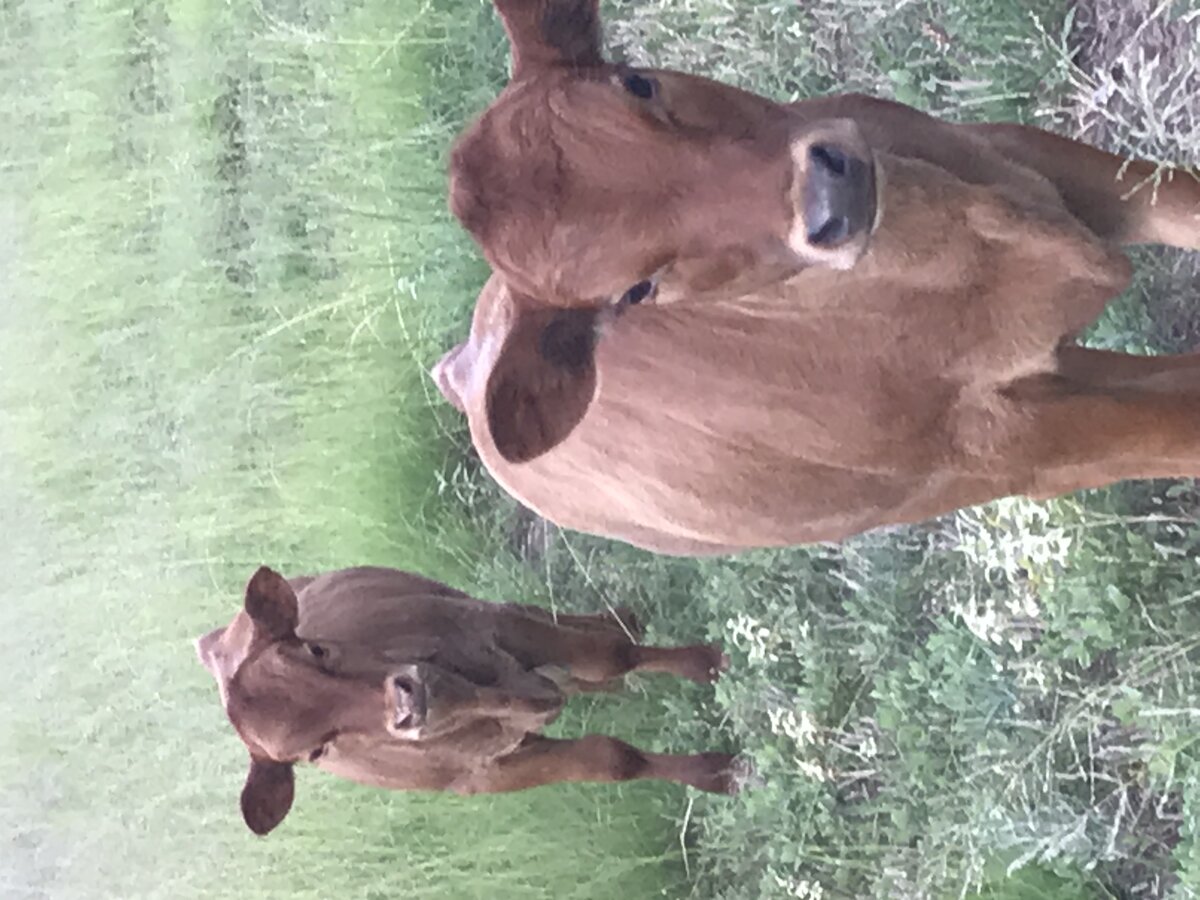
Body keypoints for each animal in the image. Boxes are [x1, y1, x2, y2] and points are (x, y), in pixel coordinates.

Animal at [195, 565, 737, 836]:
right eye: (317, 750)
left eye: (315, 649)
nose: (408, 702)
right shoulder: (487, 774)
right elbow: (611, 759)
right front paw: (716, 772)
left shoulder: (495, 624)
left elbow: (612, 655)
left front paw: (706, 663)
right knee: (581, 681)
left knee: (558, 625)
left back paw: (621, 620)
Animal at [435, 0, 1200, 555]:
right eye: (635, 290)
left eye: (638, 82)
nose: (831, 197)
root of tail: (462, 362)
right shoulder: (1011, 446)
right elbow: (1175, 435)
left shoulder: (1039, 161)